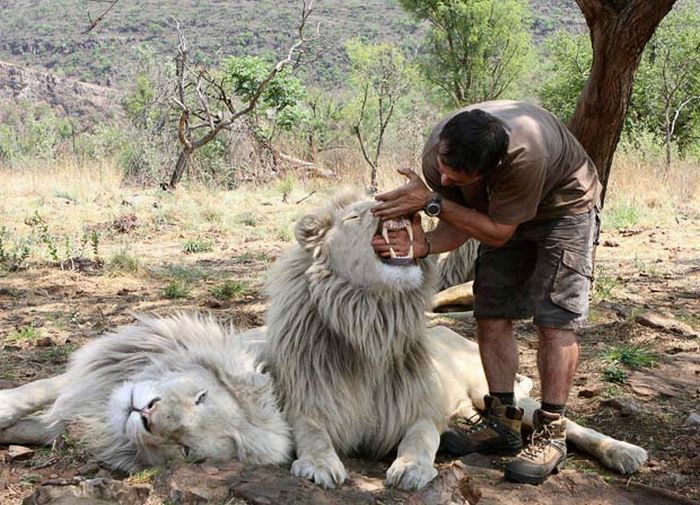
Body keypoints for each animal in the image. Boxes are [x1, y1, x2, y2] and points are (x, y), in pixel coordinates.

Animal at [0, 316, 292, 472]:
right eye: (201, 397)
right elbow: (45, 387)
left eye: (185, 449)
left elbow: (37, 429)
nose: (147, 414)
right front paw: (5, 406)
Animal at [264, 191, 652, 490]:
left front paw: (412, 468)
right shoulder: (308, 403)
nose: (387, 202)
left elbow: (420, 438)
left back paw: (624, 452)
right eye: (354, 215)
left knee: (565, 423)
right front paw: (319, 464)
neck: (371, 320)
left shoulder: (419, 408)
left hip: (491, 387)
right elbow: (312, 435)